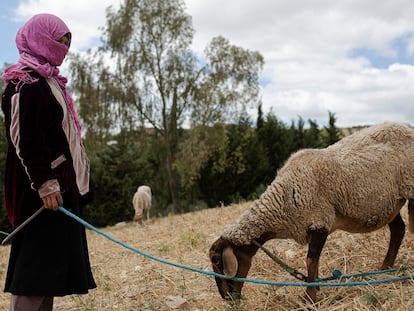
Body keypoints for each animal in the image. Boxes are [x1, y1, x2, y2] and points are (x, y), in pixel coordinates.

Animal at [209, 122, 414, 304]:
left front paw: (309, 299)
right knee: (398, 230)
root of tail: (405, 127)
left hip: (409, 189)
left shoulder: (320, 222)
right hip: (389, 203)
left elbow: (310, 261)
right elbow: (315, 262)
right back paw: (385, 269)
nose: (226, 299)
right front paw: (315, 289)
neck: (282, 202)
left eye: (217, 261)